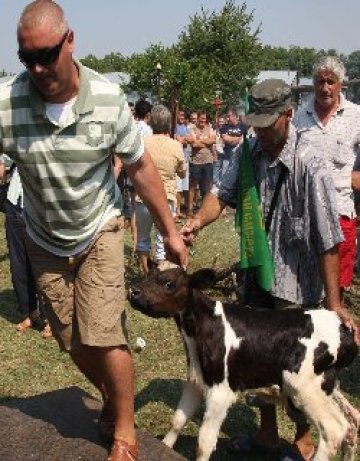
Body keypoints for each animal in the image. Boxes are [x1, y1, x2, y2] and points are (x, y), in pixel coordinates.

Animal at [129, 266, 360, 460]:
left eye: (169, 284)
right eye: (149, 274)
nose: (133, 291)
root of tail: (343, 329)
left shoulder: (221, 392)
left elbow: (204, 442)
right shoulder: (196, 380)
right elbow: (177, 420)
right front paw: (165, 447)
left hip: (304, 387)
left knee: (333, 430)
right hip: (326, 386)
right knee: (351, 422)